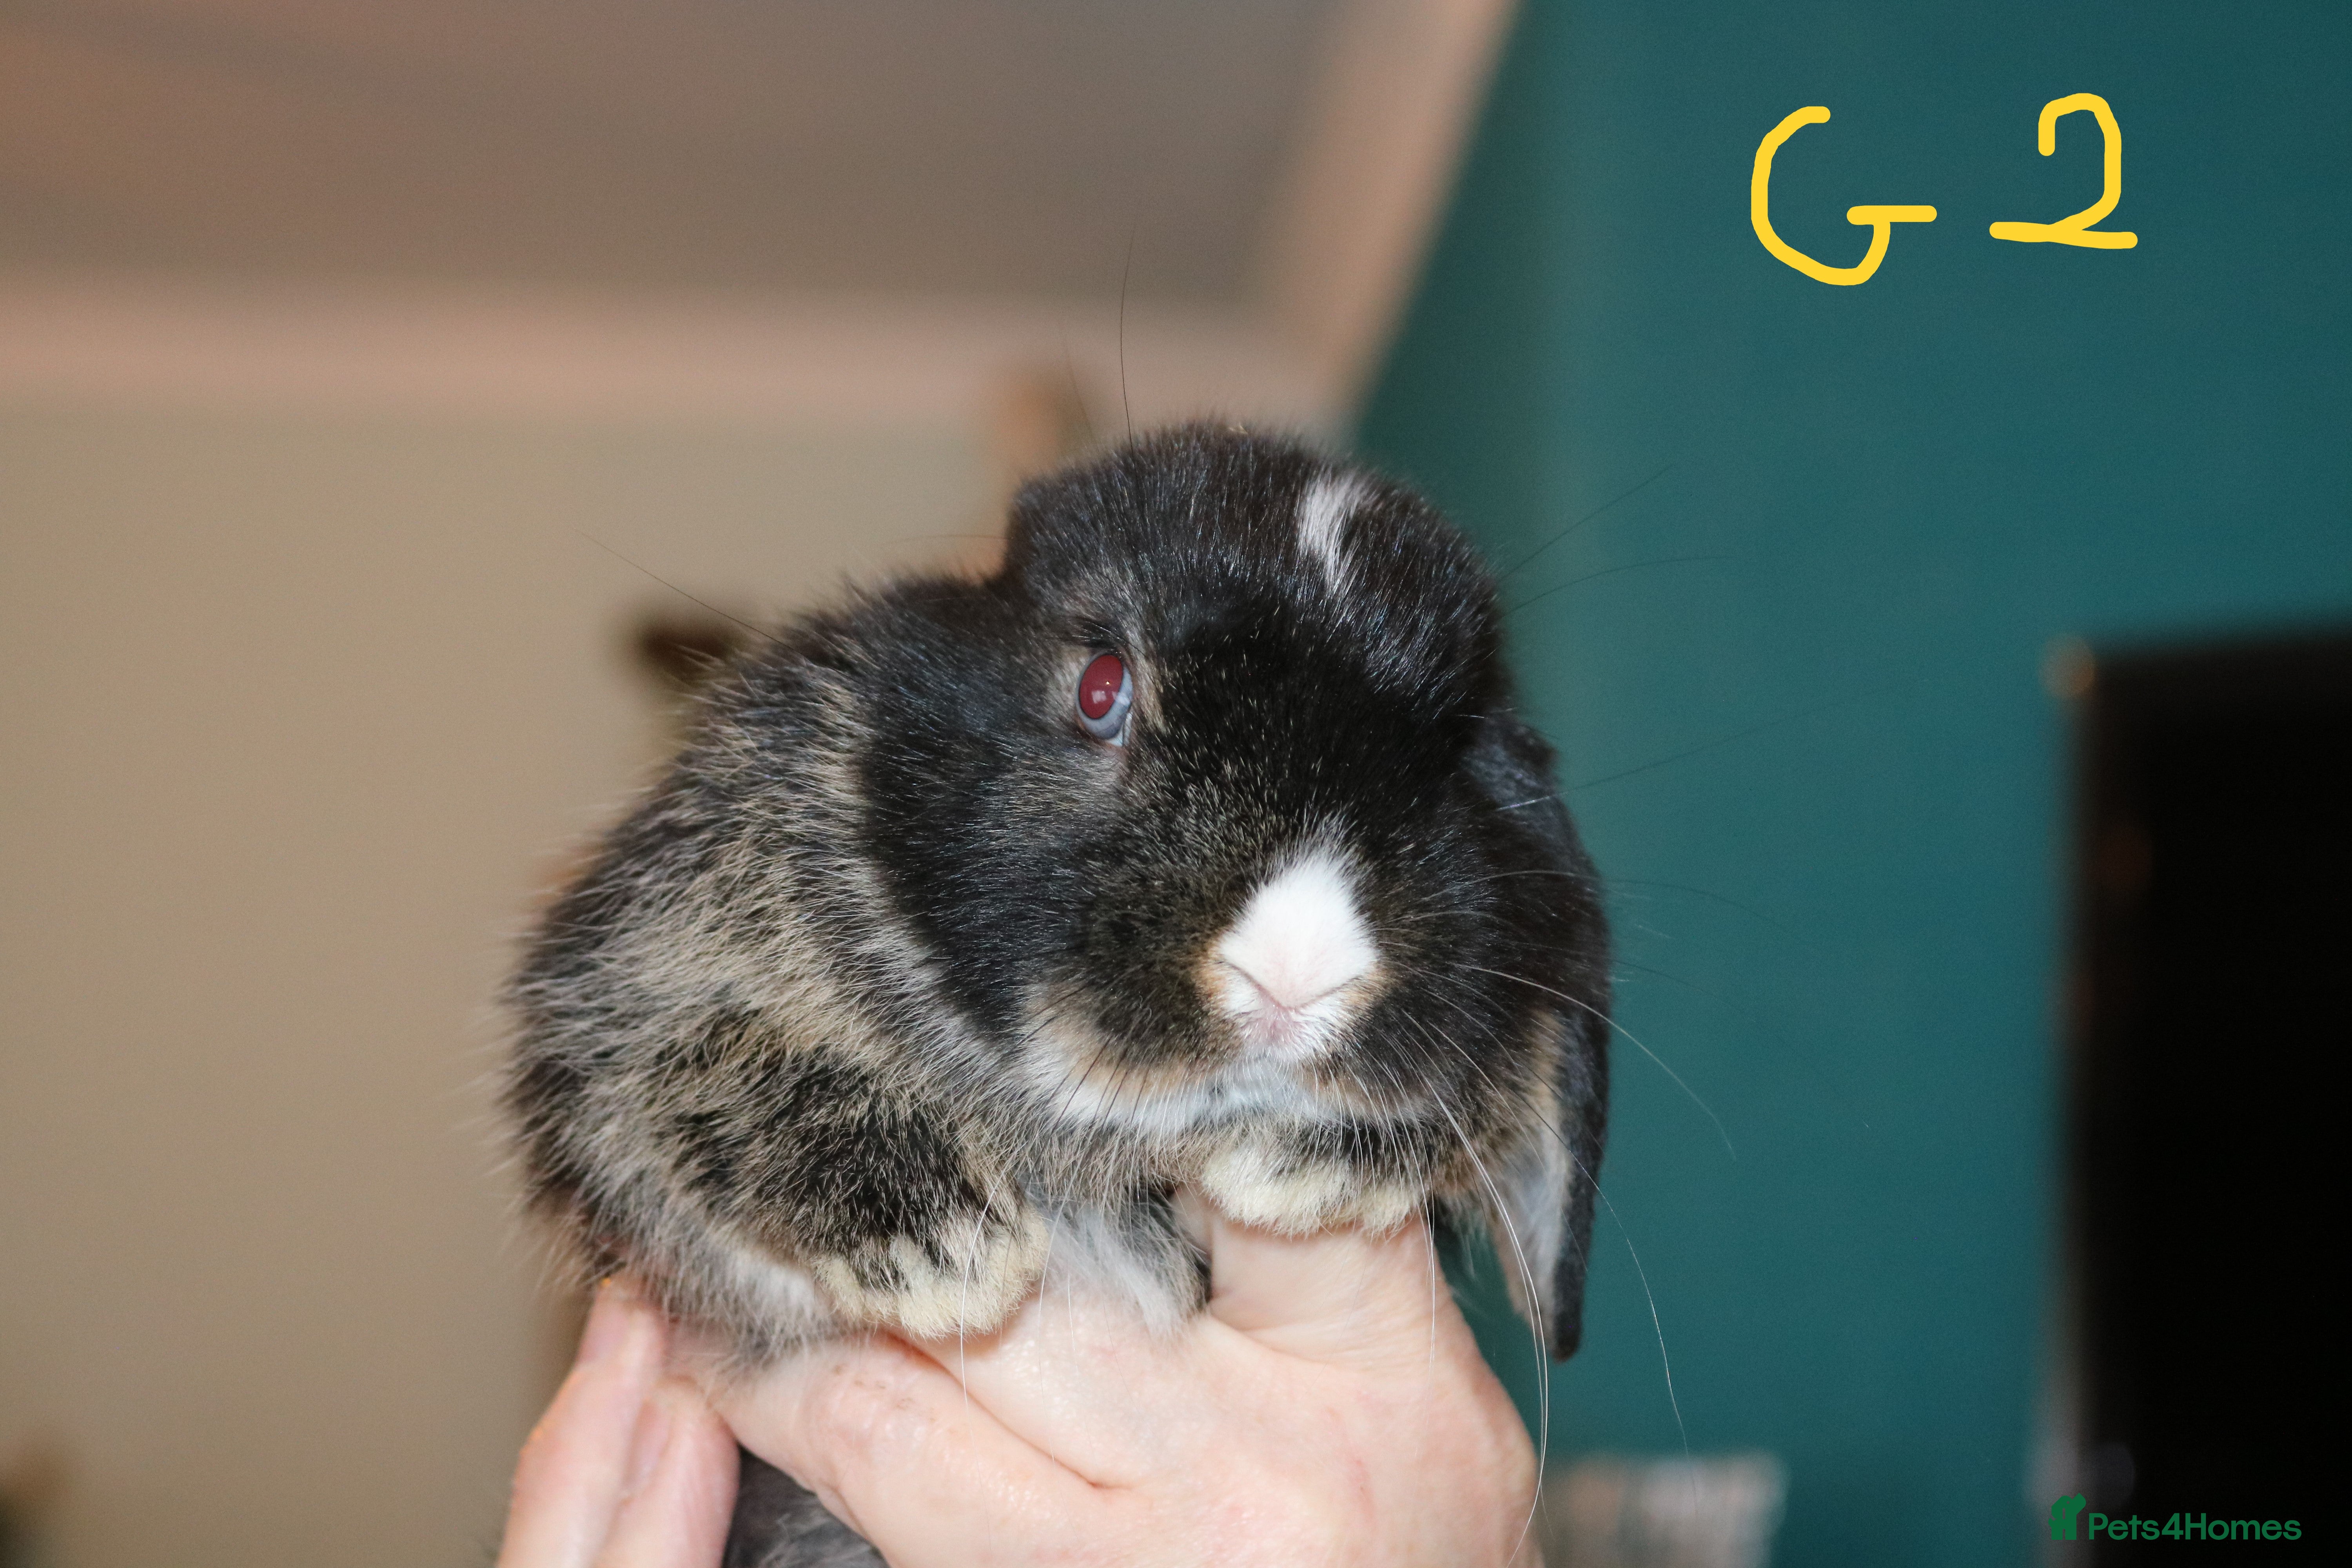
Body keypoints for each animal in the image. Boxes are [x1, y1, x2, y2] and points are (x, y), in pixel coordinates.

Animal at [505, 423, 1611, 1565]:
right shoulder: (640, 987)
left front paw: (1307, 1170)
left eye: (1453, 754)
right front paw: (942, 1249)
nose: (1295, 974)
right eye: (1100, 687)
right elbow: (703, 1072)